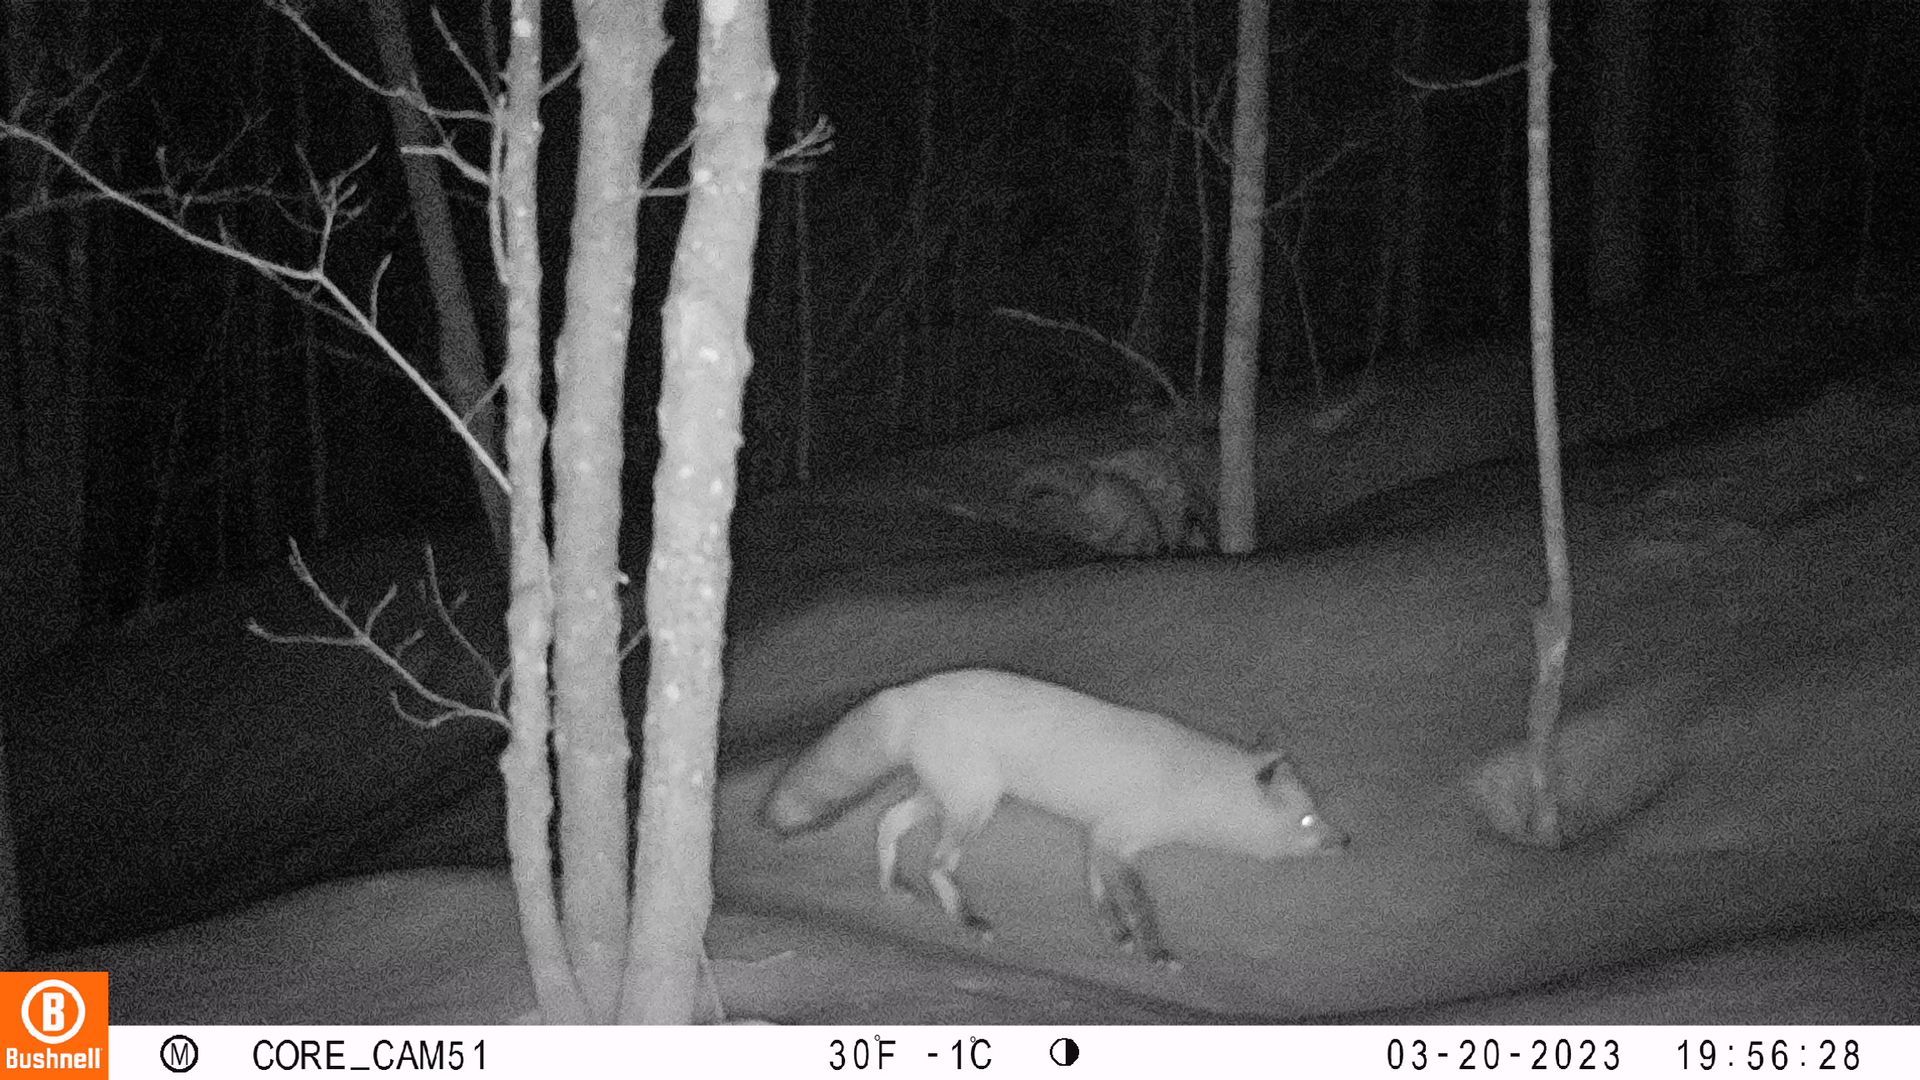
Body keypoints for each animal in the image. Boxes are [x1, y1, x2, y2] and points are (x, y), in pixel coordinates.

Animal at [760, 668, 1348, 966]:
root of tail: (909, 691)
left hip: (944, 798)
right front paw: (1156, 951)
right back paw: (967, 918)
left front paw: (1116, 936)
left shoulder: (1099, 838)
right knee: (936, 864)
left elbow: (1099, 895)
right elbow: (1140, 904)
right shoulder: (1118, 841)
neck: (1187, 784)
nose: (1345, 841)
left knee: (887, 823)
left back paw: (891, 889)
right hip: (975, 806)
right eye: (1307, 822)